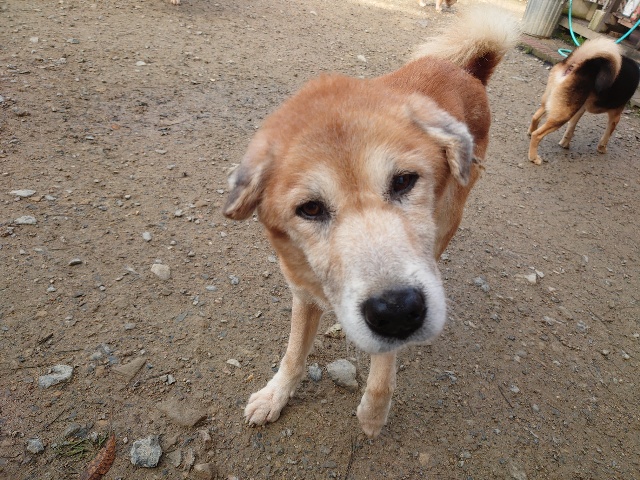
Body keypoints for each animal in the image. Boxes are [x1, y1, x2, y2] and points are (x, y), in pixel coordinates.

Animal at [223, 6, 519, 438]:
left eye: (404, 181)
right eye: (310, 209)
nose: (397, 311)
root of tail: (467, 71)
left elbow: (382, 369)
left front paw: (374, 413)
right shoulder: (303, 294)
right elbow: (294, 353)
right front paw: (276, 394)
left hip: (449, 212)